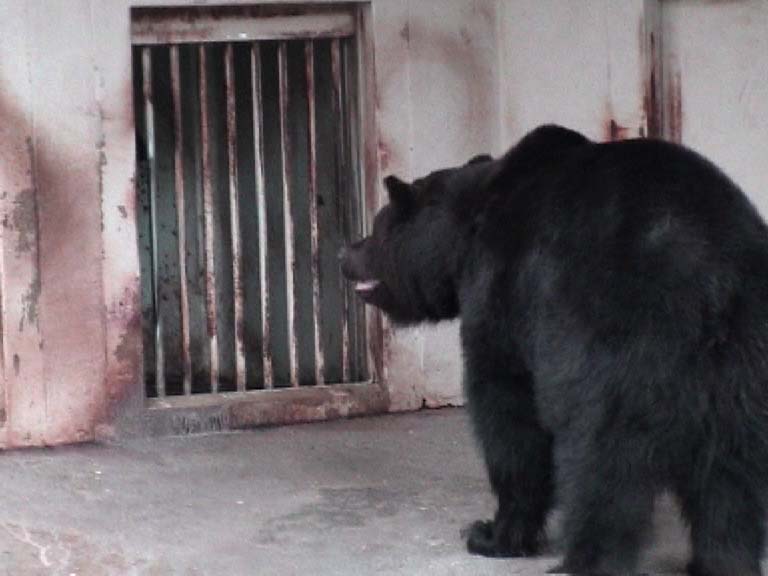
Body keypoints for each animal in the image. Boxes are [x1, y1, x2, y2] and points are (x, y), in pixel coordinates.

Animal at [339, 124, 768, 576]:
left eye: (376, 227)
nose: (343, 252)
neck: (470, 225)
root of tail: (711, 283)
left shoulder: (503, 291)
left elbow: (506, 407)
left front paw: (491, 532)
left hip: (617, 339)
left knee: (602, 463)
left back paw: (582, 560)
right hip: (743, 360)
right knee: (732, 471)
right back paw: (721, 559)